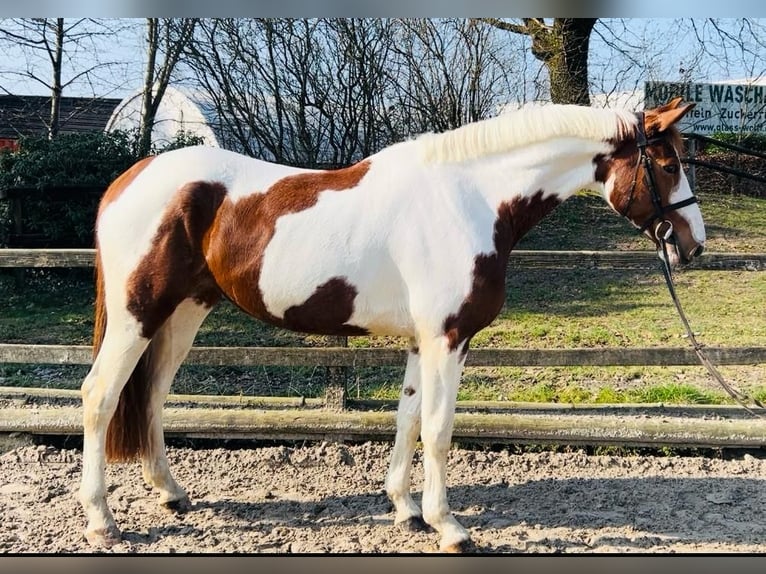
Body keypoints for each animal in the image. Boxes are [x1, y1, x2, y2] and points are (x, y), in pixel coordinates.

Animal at [79, 98, 708, 552]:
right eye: (669, 165)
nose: (693, 245)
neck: (471, 197)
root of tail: (130, 178)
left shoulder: (421, 341)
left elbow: (407, 419)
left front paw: (405, 510)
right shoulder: (449, 339)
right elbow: (438, 429)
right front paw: (449, 526)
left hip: (184, 312)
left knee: (152, 394)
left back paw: (171, 494)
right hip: (139, 315)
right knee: (100, 395)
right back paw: (103, 521)